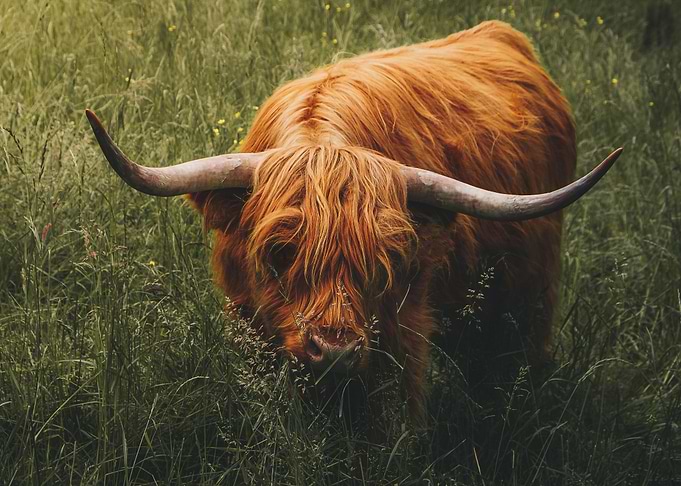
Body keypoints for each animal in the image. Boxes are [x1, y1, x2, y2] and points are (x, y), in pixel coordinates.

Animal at [86, 21, 621, 420]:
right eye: (279, 252)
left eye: (384, 262)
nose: (335, 352)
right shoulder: (249, 317)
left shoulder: (402, 331)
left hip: (532, 290)